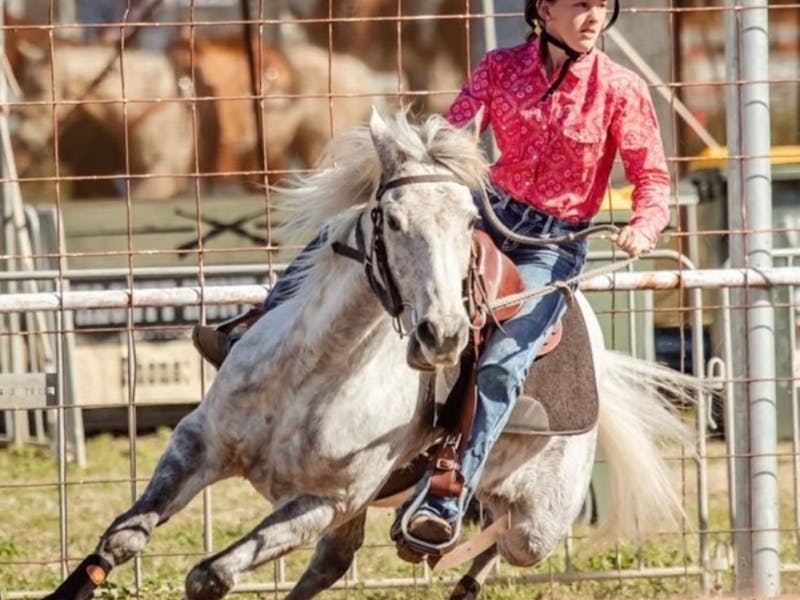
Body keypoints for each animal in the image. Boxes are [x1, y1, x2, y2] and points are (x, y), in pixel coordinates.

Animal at [45, 108, 692, 600]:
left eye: (469, 221)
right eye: (392, 219)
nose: (443, 336)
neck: (312, 372)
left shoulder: (324, 502)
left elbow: (210, 575)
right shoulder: (197, 444)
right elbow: (124, 538)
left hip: (539, 524)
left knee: (499, 541)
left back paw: (433, 531)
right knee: (336, 564)